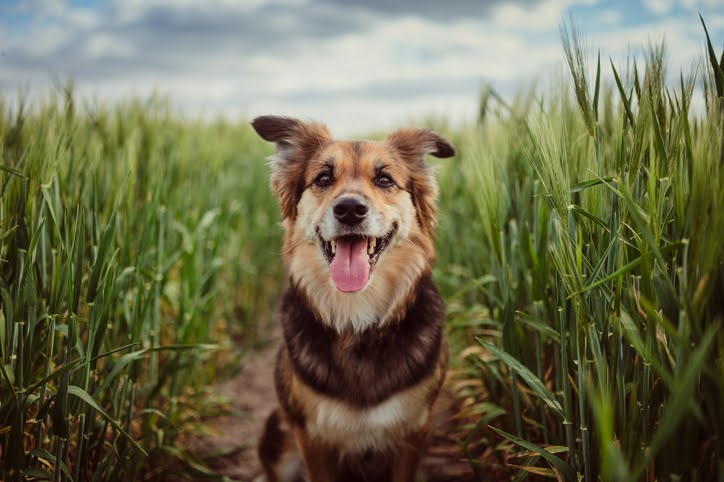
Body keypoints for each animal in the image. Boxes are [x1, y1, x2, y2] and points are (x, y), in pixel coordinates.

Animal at [250, 116, 452, 482]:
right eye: (323, 178)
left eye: (385, 179)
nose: (349, 209)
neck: (357, 318)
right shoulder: (313, 438)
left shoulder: (414, 432)